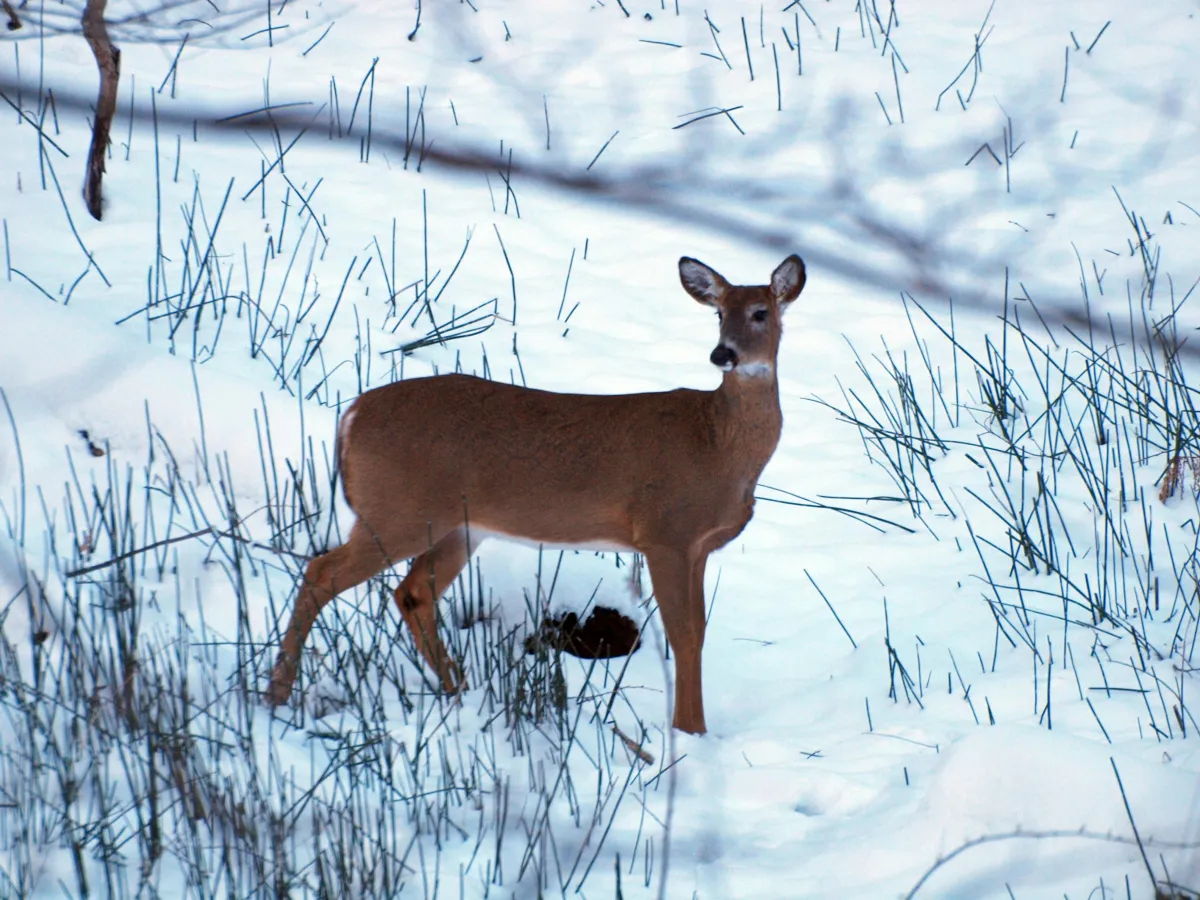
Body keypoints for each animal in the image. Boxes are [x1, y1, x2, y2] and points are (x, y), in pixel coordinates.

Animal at [267, 252, 801, 734]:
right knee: (321, 573)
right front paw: (689, 733)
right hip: (397, 511)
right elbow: (682, 634)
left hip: (457, 526)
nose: (722, 354)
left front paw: (696, 731)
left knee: (412, 594)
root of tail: (351, 415)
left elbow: (700, 632)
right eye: (718, 313)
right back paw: (278, 695)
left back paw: (457, 691)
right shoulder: (665, 532)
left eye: (761, 312)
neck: (717, 445)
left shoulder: (698, 546)